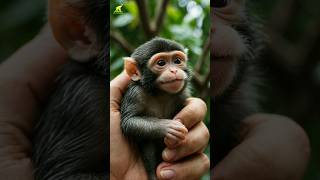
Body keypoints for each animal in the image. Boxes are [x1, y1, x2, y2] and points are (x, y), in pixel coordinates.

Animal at [120, 37, 190, 179]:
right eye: (161, 63)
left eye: (177, 61)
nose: (174, 70)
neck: (160, 93)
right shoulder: (135, 93)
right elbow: (128, 121)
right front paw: (168, 127)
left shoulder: (183, 95)